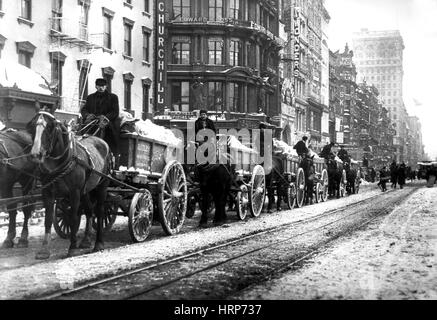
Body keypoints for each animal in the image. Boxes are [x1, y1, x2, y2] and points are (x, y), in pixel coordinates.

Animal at [27, 105, 110, 260]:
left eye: (50, 127)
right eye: (32, 126)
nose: (36, 154)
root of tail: (102, 141)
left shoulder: (74, 192)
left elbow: (73, 218)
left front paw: (72, 247)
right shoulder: (47, 192)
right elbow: (48, 219)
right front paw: (44, 250)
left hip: (102, 186)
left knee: (100, 211)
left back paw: (99, 243)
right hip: (86, 191)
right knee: (89, 210)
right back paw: (86, 240)